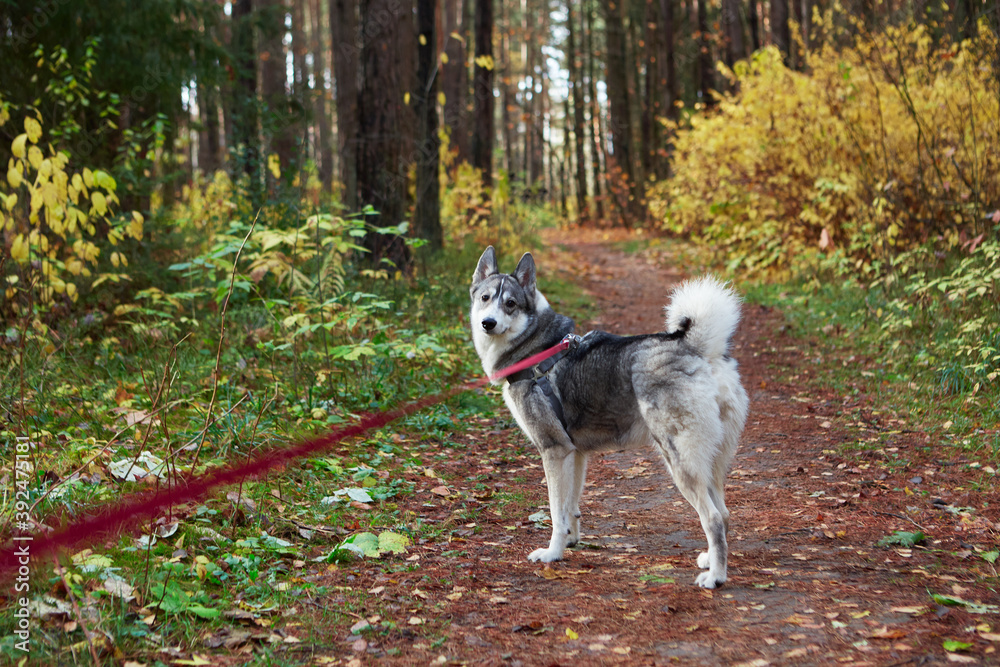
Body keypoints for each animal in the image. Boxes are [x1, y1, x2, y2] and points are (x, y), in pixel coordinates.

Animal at [472, 247, 748, 588]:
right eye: (485, 298)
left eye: (510, 303)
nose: (488, 322)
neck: (537, 348)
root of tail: (697, 350)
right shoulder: (575, 454)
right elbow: (570, 508)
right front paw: (570, 541)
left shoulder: (554, 451)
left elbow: (555, 512)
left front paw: (552, 553)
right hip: (712, 462)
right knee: (724, 514)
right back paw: (710, 560)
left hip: (681, 461)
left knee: (712, 518)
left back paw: (716, 577)